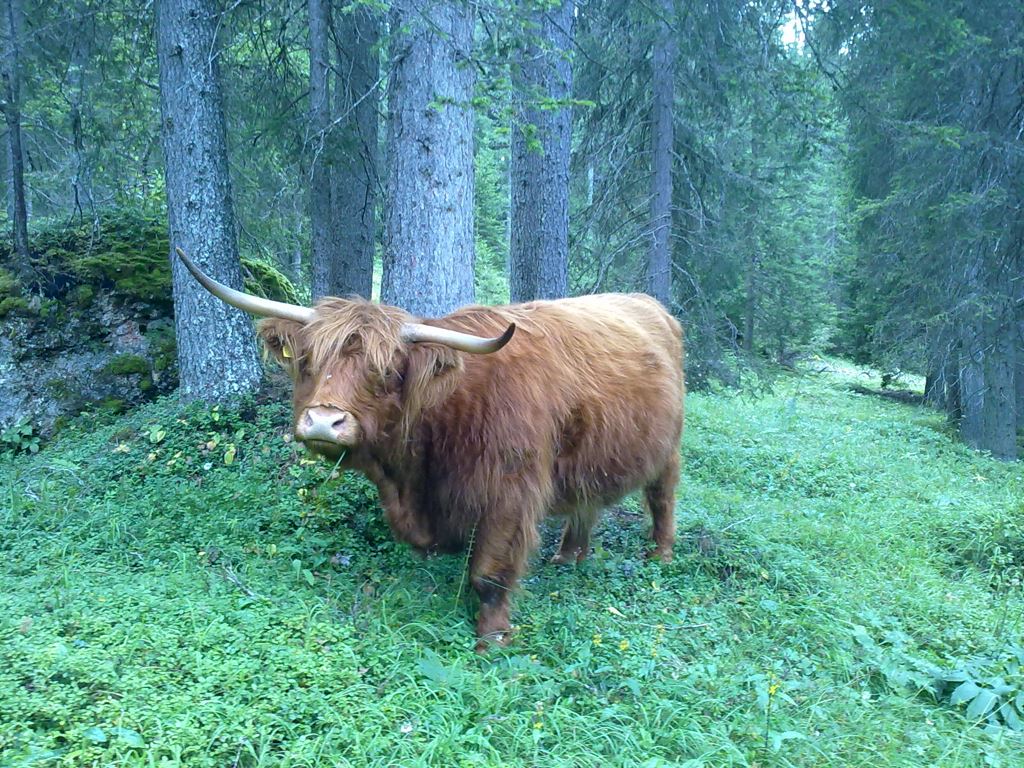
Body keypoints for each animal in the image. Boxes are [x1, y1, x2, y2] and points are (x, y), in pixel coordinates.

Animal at [177, 247, 688, 651]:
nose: (324, 421)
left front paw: (493, 638)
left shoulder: (510, 493)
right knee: (587, 502)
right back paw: (569, 556)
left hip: (668, 448)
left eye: (386, 372)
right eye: (307, 362)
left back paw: (660, 556)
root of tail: (649, 304)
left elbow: (489, 573)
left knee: (662, 498)